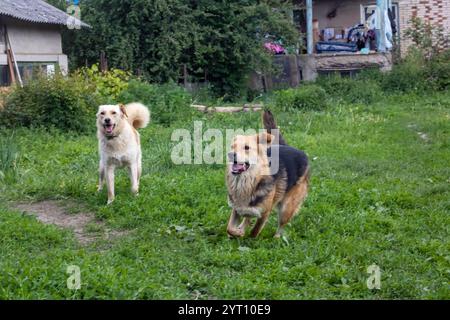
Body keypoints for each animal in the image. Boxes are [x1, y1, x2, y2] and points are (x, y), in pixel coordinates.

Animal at [225, 110, 310, 238]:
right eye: (232, 147)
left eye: (246, 147)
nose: (230, 154)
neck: (248, 182)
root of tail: (288, 146)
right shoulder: (237, 209)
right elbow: (229, 228)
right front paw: (238, 232)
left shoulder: (265, 212)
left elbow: (254, 231)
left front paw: (247, 237)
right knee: (247, 218)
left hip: (287, 208)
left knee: (281, 225)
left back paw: (276, 238)